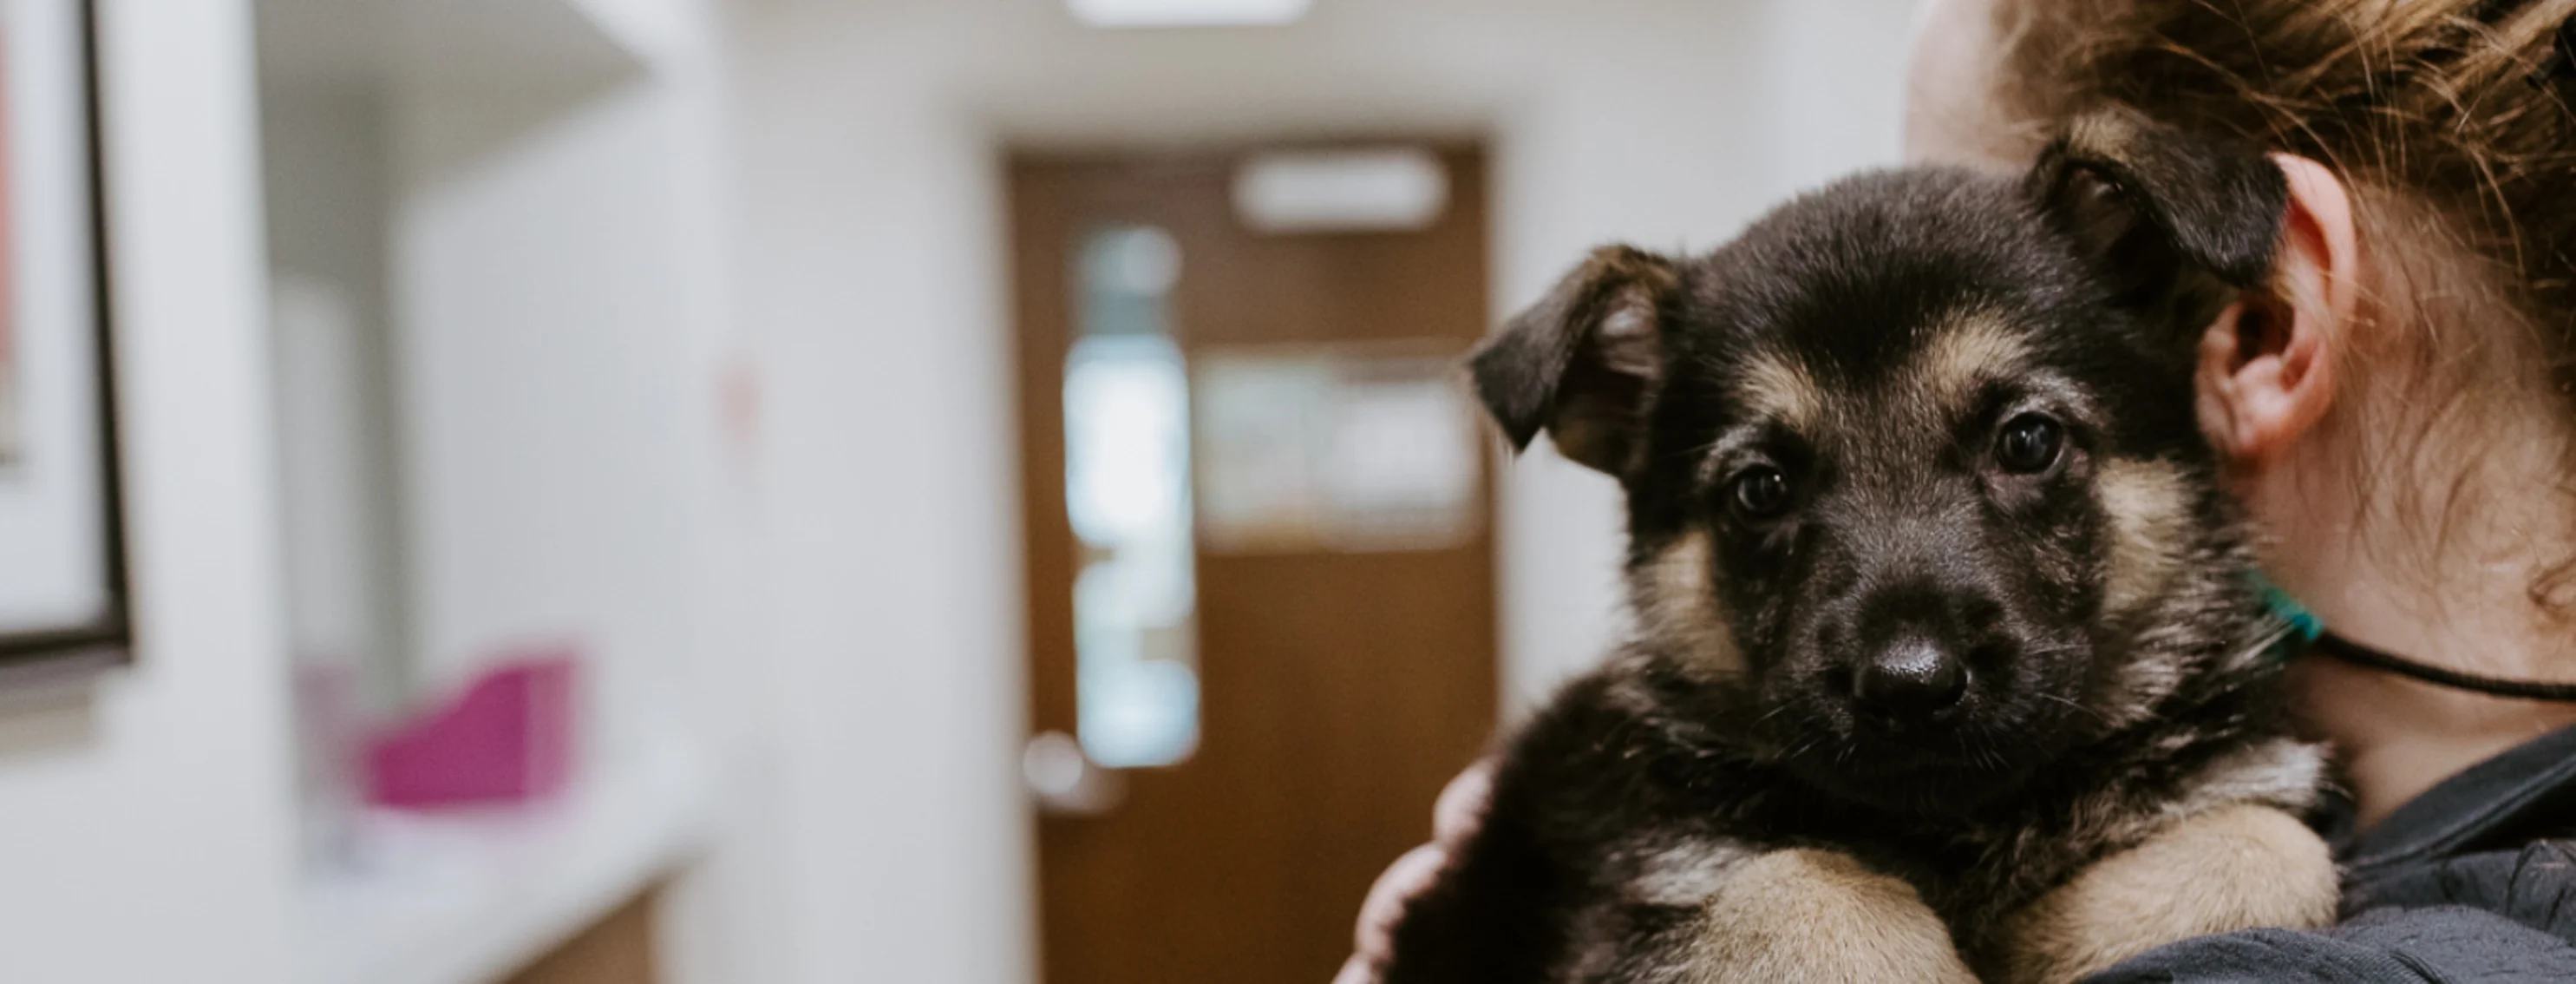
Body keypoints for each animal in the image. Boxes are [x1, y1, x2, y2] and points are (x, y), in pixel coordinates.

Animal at [1390, 115, 2338, 984]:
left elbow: (2268, 846)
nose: (1910, 687)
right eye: (1761, 490)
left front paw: (2034, 939)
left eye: (2029, 441)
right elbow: (1808, 890)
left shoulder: (2239, 800)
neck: (1965, 827)